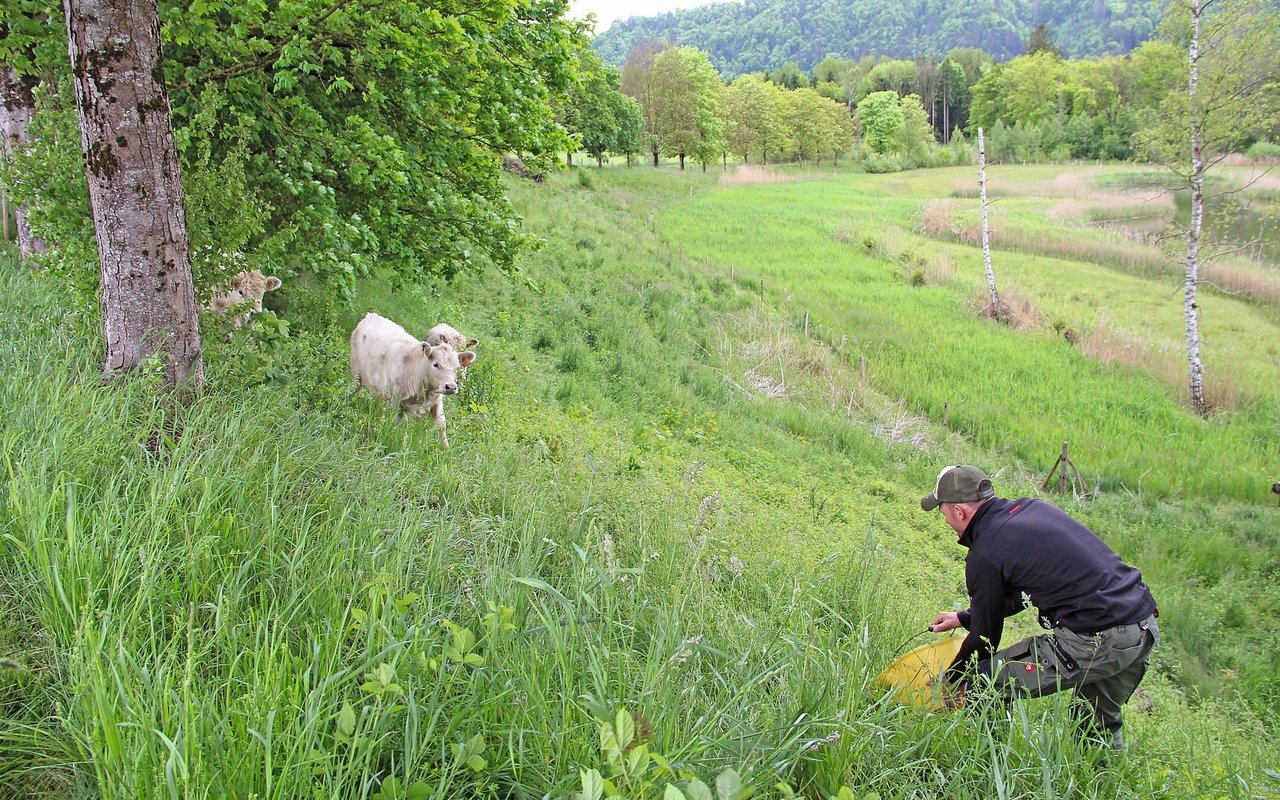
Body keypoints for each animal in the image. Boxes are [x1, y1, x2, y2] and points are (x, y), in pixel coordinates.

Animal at [350, 313, 481, 450]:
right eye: (435, 364)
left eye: (456, 367)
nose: (451, 387)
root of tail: (371, 315)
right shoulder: (394, 402)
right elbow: (402, 424)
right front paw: (403, 446)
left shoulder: (436, 401)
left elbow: (442, 425)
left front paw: (447, 450)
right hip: (356, 375)